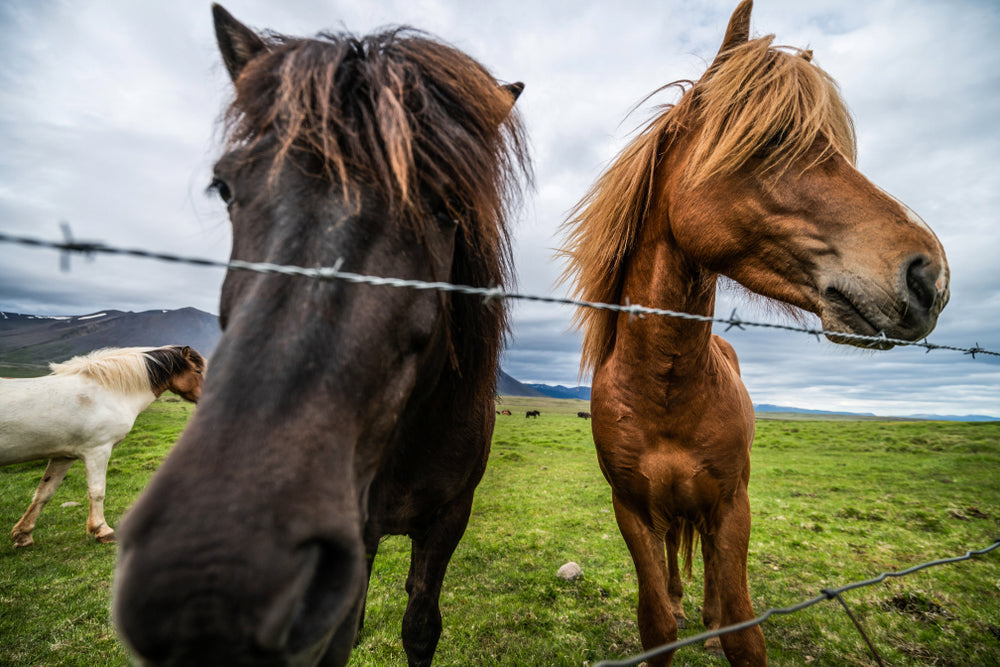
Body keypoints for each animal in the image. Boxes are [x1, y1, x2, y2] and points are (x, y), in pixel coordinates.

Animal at [0, 345, 204, 548]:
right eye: (198, 370)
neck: (107, 391)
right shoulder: (98, 450)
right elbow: (97, 491)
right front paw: (102, 530)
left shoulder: (63, 456)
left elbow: (44, 492)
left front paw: (23, 534)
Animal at [560, 2, 948, 664]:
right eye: (770, 138)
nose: (929, 275)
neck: (664, 390)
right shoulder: (632, 510)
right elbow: (656, 624)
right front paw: (673, 611)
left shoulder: (730, 506)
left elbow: (744, 627)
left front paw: (721, 623)